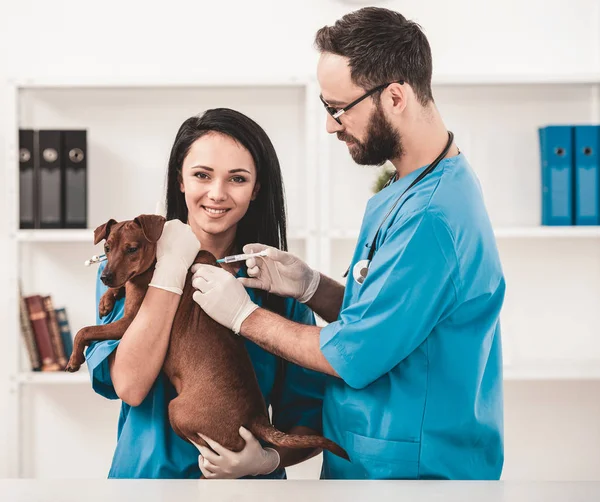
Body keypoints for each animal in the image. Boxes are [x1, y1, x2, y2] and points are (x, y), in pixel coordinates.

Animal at [67, 213, 346, 462]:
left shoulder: (130, 323)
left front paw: (73, 359)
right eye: (107, 247)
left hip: (177, 411)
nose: (104, 277)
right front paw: (105, 300)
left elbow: (86, 330)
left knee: (207, 446)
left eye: (132, 249)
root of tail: (256, 418)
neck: (158, 259)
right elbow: (116, 292)